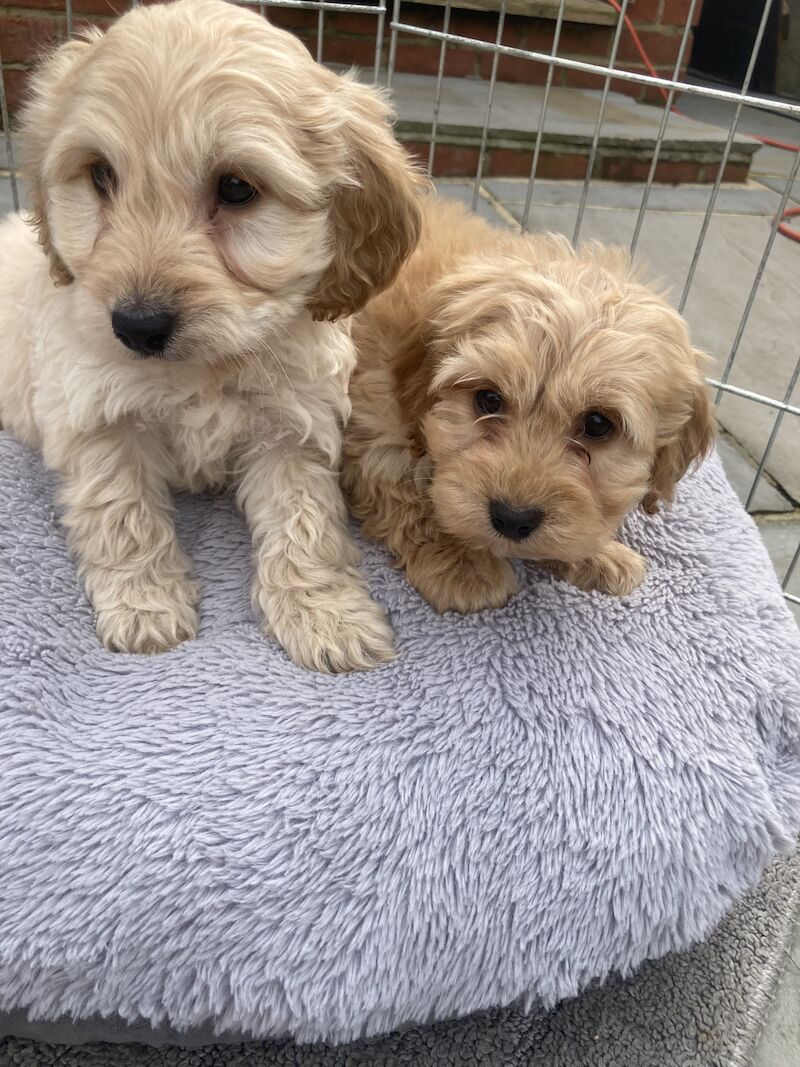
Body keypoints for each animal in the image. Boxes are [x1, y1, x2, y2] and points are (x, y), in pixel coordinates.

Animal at [343, 198, 712, 618]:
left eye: (598, 424)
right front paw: (460, 562)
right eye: (488, 399)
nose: (512, 518)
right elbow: (403, 491)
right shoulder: (375, 424)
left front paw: (599, 555)